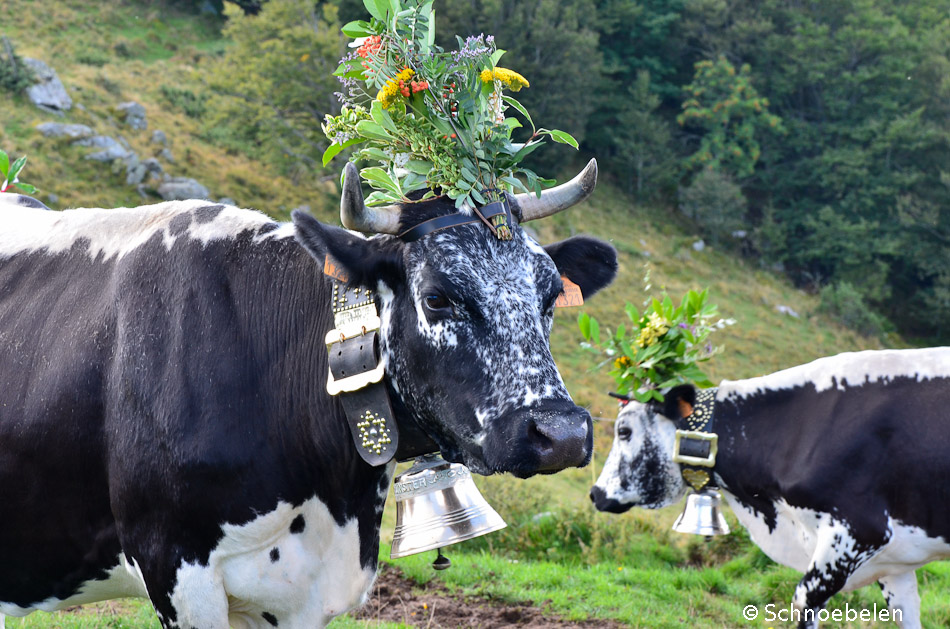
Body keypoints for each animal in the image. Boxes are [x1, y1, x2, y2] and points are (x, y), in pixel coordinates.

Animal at [596, 348, 950, 628]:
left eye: (624, 431)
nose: (596, 494)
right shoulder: (895, 558)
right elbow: (905, 612)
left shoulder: (860, 529)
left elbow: (804, 601)